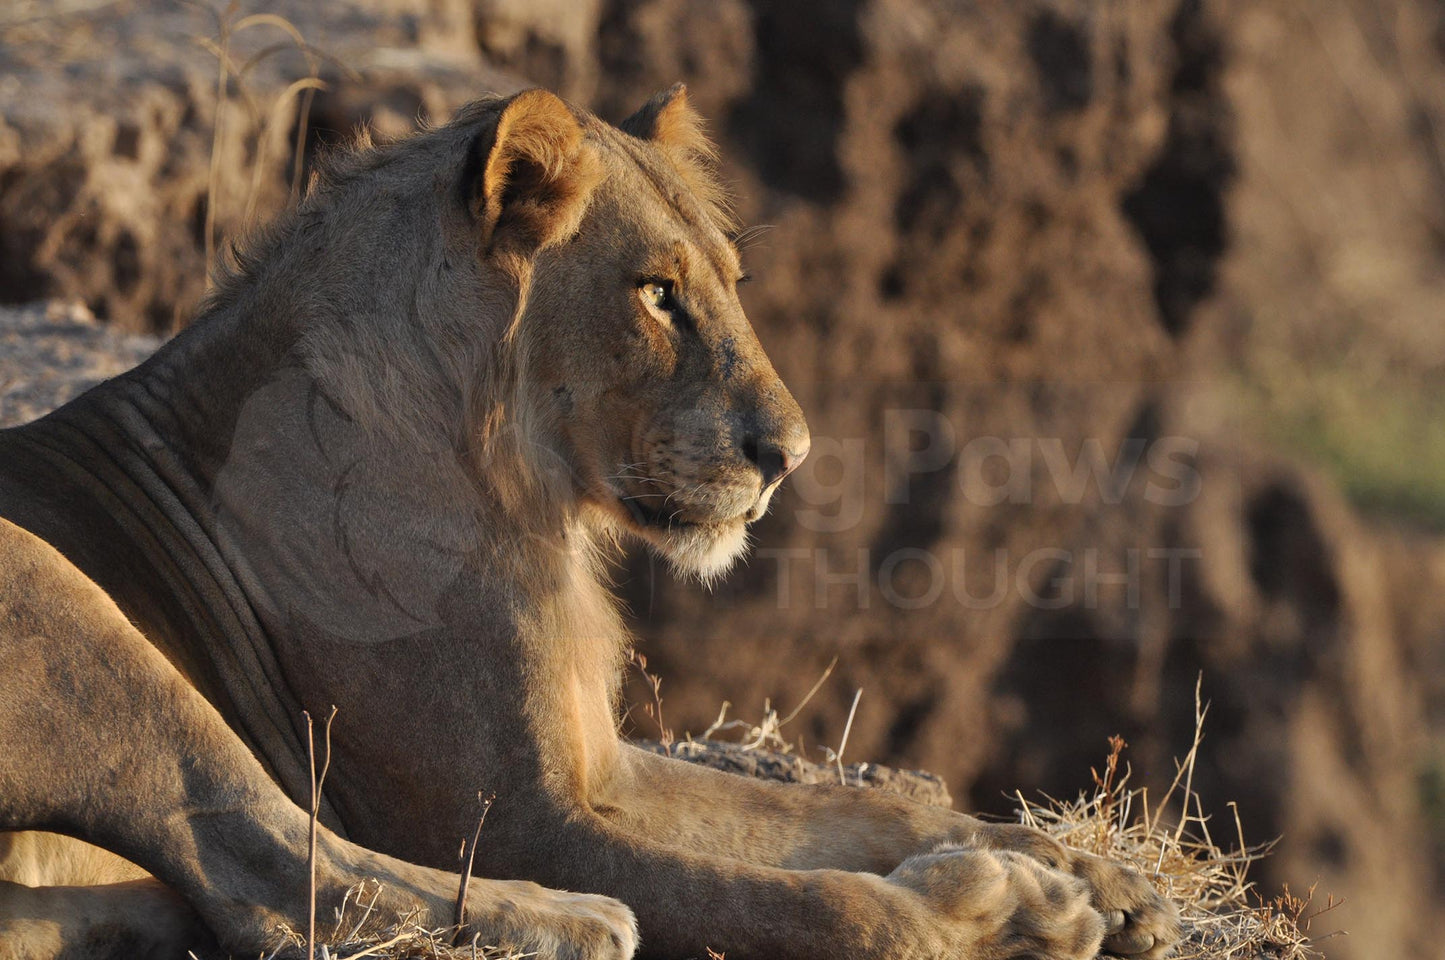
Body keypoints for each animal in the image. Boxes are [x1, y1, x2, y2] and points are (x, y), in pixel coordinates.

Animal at [0, 84, 1179, 960]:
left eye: (732, 280)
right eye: (655, 292)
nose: (789, 456)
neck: (528, 494)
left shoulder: (600, 768)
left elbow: (852, 817)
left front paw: (1090, 875)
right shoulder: (512, 818)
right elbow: (806, 903)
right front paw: (1012, 907)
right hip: (69, 609)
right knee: (271, 876)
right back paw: (574, 924)